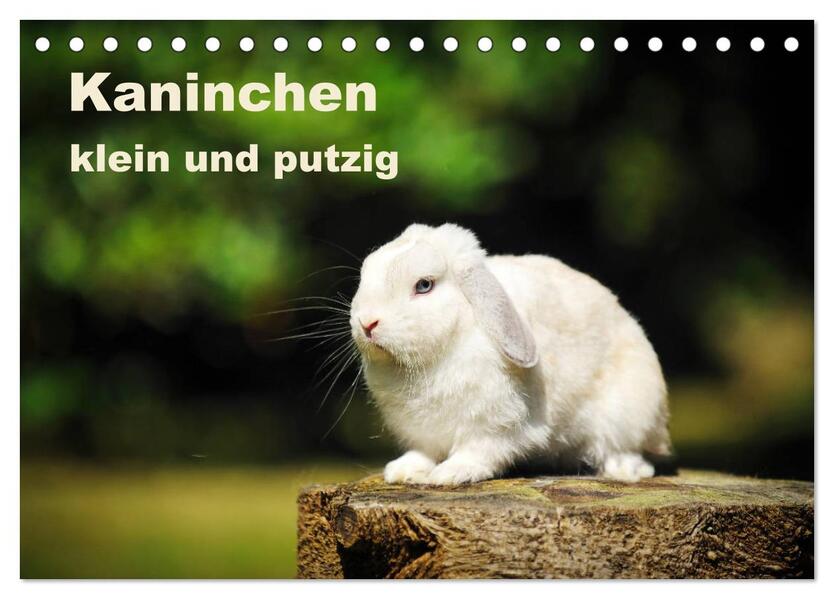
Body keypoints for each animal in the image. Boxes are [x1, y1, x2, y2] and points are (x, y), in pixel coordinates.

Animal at [349, 223, 670, 485]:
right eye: (365, 275)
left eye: (424, 285)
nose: (367, 323)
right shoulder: (423, 431)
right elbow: (424, 451)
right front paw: (403, 471)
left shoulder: (495, 425)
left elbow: (478, 451)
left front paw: (451, 474)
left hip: (626, 413)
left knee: (625, 450)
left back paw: (623, 470)